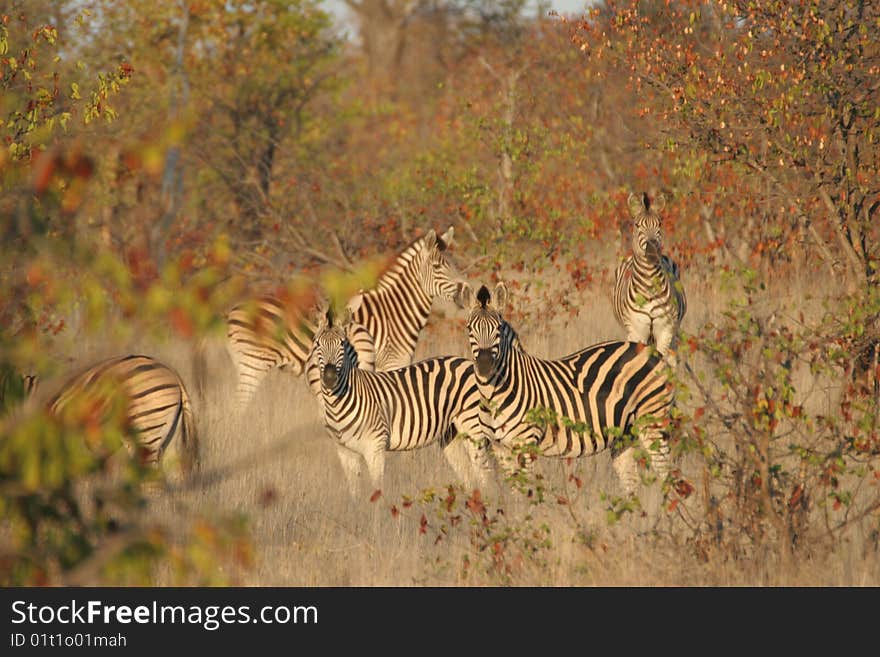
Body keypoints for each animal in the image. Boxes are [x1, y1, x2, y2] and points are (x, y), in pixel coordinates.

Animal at [203, 226, 468, 410]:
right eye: (438, 266)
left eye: (453, 264)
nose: (466, 291)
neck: (393, 312)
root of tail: (232, 310)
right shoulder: (392, 363)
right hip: (253, 364)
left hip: (244, 364)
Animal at [306, 308, 492, 498]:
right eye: (317, 344)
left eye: (342, 344)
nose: (329, 378)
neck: (337, 404)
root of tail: (466, 362)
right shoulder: (344, 451)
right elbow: (354, 492)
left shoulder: (375, 446)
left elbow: (377, 488)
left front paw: (377, 507)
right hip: (449, 434)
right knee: (467, 473)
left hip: (473, 426)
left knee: (485, 472)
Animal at [460, 280, 672, 492]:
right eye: (470, 329)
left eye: (497, 329)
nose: (485, 365)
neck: (493, 393)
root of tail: (651, 351)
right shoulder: (500, 448)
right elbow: (514, 491)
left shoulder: (526, 443)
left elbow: (525, 492)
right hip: (624, 433)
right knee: (631, 481)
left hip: (653, 421)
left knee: (667, 472)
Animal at [612, 190, 688, 364]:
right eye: (637, 225)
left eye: (659, 224)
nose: (652, 245)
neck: (649, 282)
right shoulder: (637, 330)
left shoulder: (666, 330)